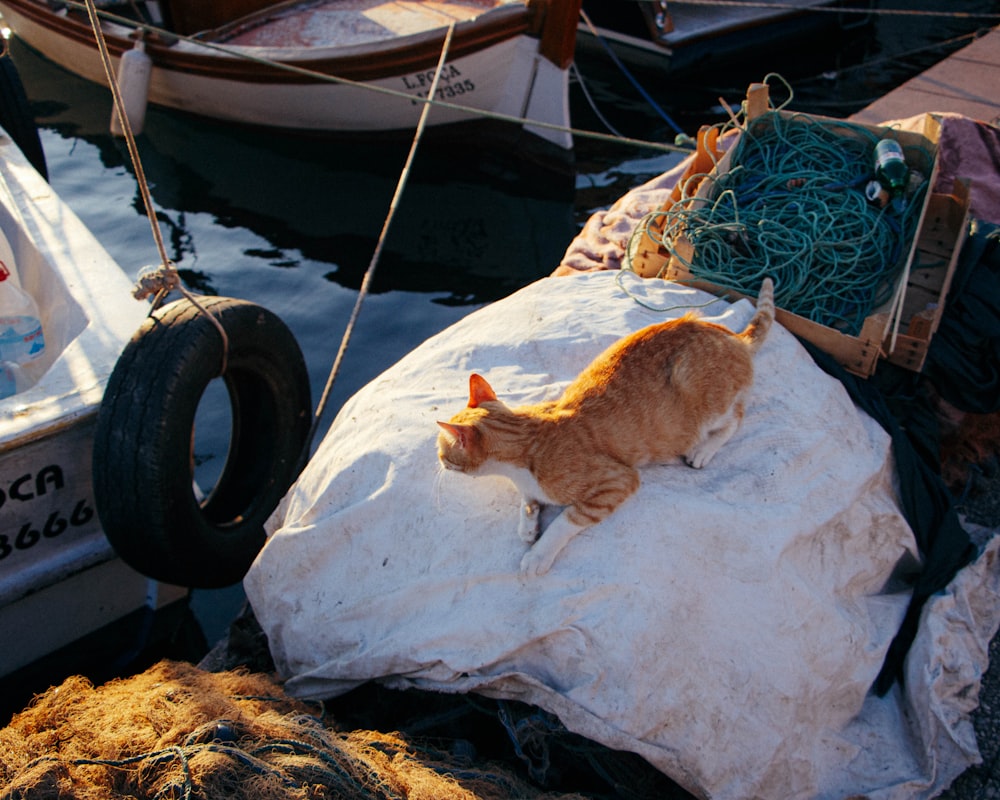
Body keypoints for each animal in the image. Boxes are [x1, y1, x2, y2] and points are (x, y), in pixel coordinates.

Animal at [436, 278, 772, 572]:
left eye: (441, 452)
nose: (437, 463)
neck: (526, 438)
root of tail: (731, 336)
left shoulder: (617, 480)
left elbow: (566, 520)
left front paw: (538, 554)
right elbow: (528, 502)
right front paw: (528, 526)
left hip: (706, 404)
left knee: (736, 417)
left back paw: (704, 449)